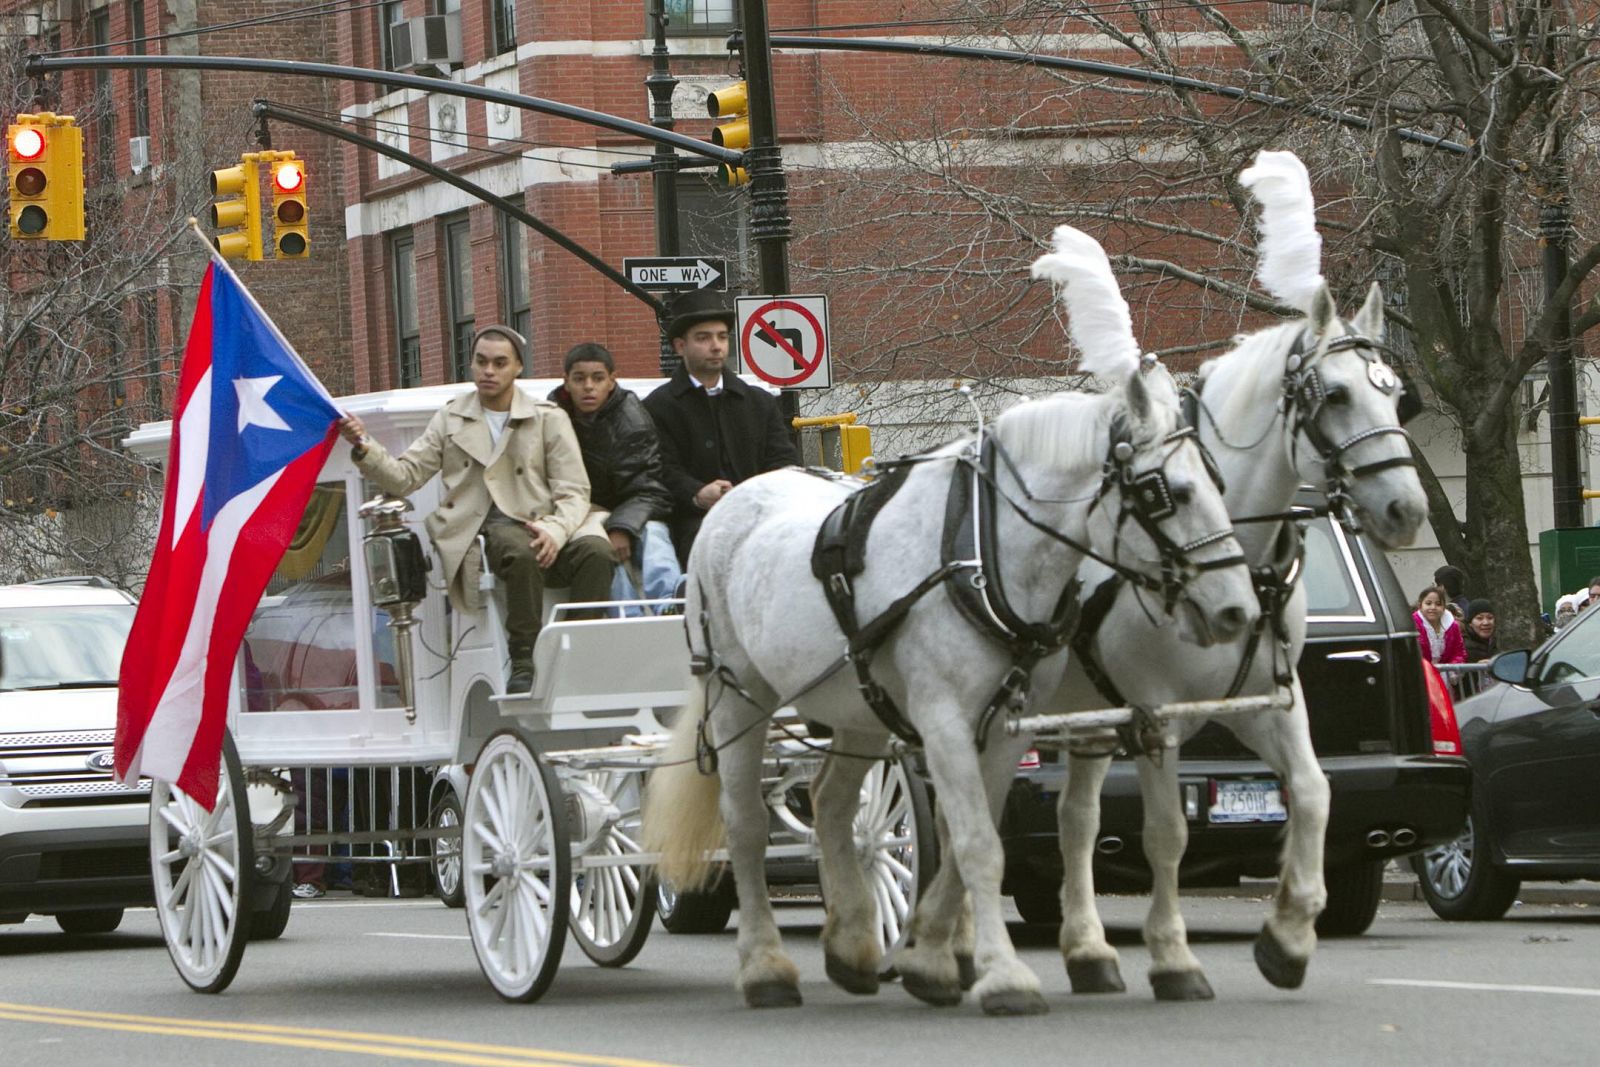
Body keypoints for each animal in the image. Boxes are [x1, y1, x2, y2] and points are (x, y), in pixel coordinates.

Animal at [643, 230, 1254, 1017]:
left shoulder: (1005, 723)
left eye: (1215, 479)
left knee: (834, 806)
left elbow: (975, 842)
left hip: (857, 704)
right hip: (736, 696)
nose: (1238, 608)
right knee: (745, 825)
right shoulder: (941, 719)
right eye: (1164, 490)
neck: (984, 557)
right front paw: (1003, 976)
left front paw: (933, 957)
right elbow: (978, 846)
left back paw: (851, 946)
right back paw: (766, 968)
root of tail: (736, 498)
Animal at [1043, 150, 1433, 1004]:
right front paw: (1173, 955)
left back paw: (1085, 950)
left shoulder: (1265, 701)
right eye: (1337, 393)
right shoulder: (1155, 712)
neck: (1232, 555)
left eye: (1394, 391)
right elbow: (1166, 832)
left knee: (1073, 819)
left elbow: (1315, 793)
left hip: (1083, 714)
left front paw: (1287, 935)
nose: (1406, 507)